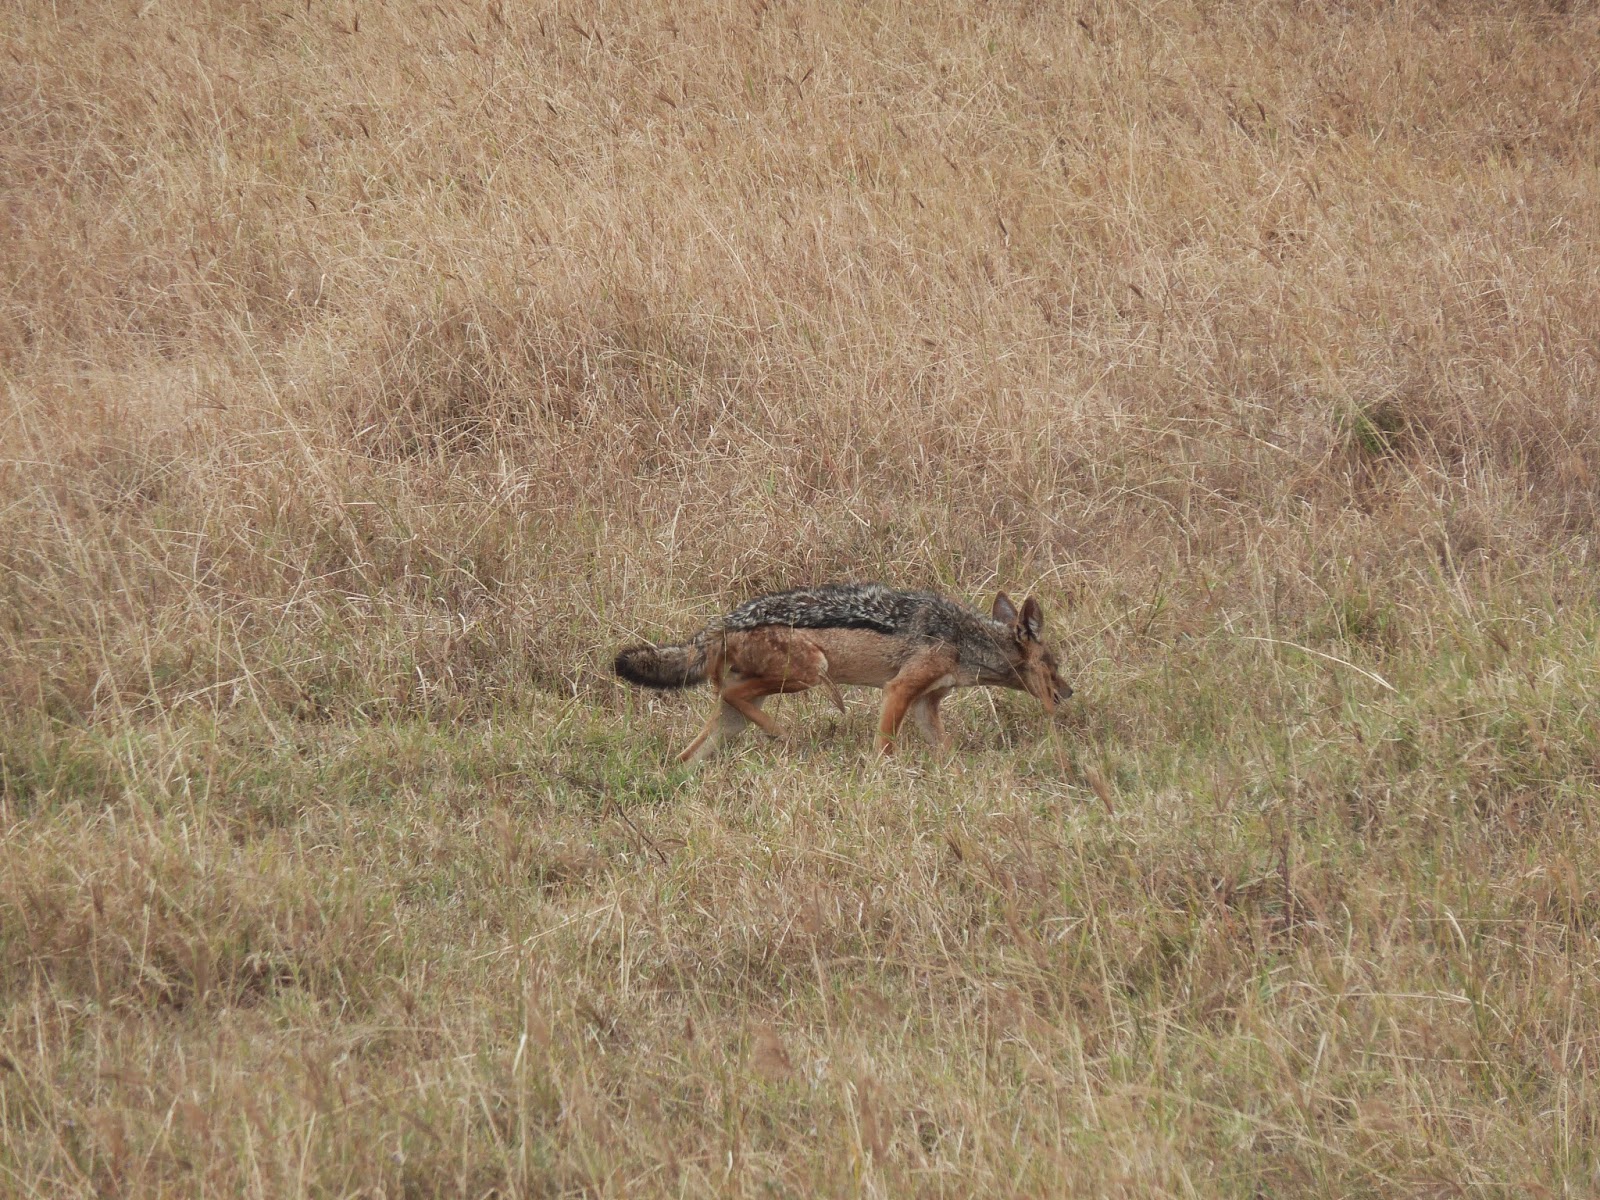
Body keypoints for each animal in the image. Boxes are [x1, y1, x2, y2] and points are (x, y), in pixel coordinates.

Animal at [613, 583, 1071, 766]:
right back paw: (784, 734)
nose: (1068, 693)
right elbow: (884, 747)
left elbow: (948, 750)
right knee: (731, 694)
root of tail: (720, 622)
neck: (966, 638)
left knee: (691, 748)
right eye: (1054, 664)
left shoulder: (926, 704)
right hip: (810, 672)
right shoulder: (899, 689)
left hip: (737, 717)